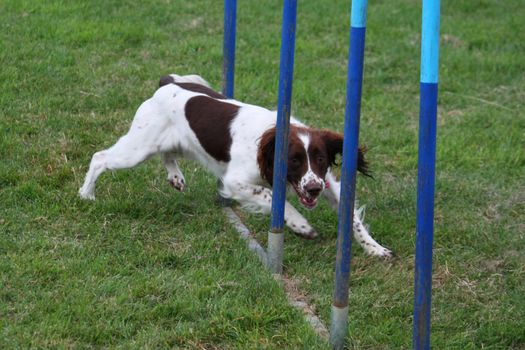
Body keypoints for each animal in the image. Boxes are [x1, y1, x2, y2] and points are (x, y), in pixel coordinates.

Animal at [77, 74, 388, 258]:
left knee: (166, 155)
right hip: (138, 147)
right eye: (295, 160)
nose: (312, 190)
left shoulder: (328, 183)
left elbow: (352, 217)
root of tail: (167, 83)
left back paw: (176, 177)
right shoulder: (235, 181)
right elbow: (275, 198)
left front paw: (375, 248)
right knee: (100, 157)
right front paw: (301, 225)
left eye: (321, 159)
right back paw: (86, 194)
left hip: (176, 143)